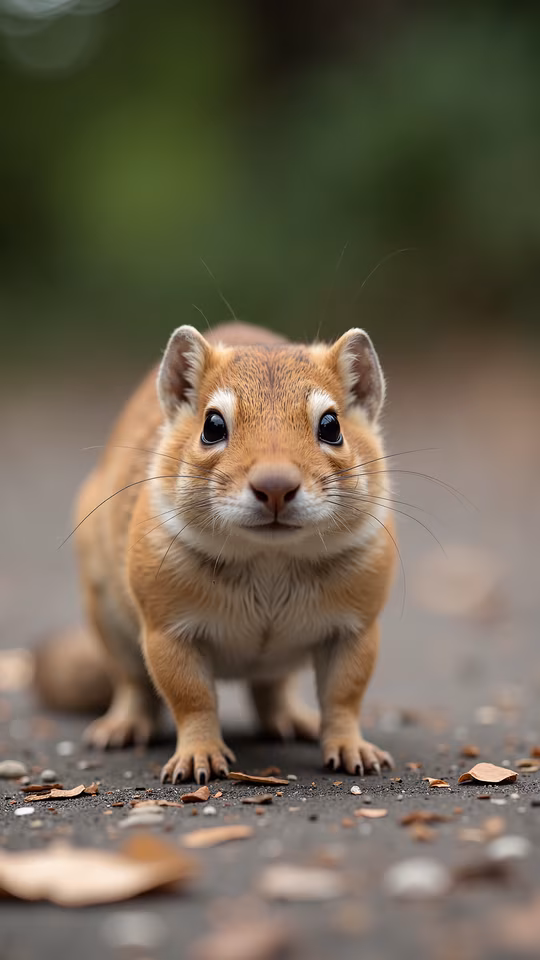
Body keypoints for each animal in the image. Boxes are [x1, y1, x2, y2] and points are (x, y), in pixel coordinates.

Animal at [35, 321, 395, 784]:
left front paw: (352, 748)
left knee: (270, 689)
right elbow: (192, 698)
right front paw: (199, 755)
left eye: (331, 426)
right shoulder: (168, 633)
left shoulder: (356, 632)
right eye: (212, 426)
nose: (275, 486)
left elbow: (344, 696)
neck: (269, 560)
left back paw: (292, 719)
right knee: (133, 684)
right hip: (112, 628)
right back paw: (124, 725)